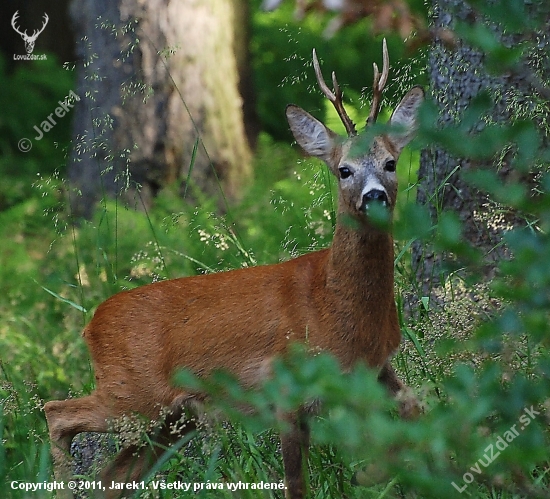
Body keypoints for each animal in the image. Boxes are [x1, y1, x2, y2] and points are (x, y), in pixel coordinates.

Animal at [46, 41, 426, 498]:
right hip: (132, 394)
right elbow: (295, 482)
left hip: (173, 417)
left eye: (390, 163)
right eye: (344, 169)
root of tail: (91, 323)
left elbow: (417, 411)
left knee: (113, 476)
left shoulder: (375, 369)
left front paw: (373, 474)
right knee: (56, 413)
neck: (332, 302)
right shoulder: (285, 383)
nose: (373, 196)